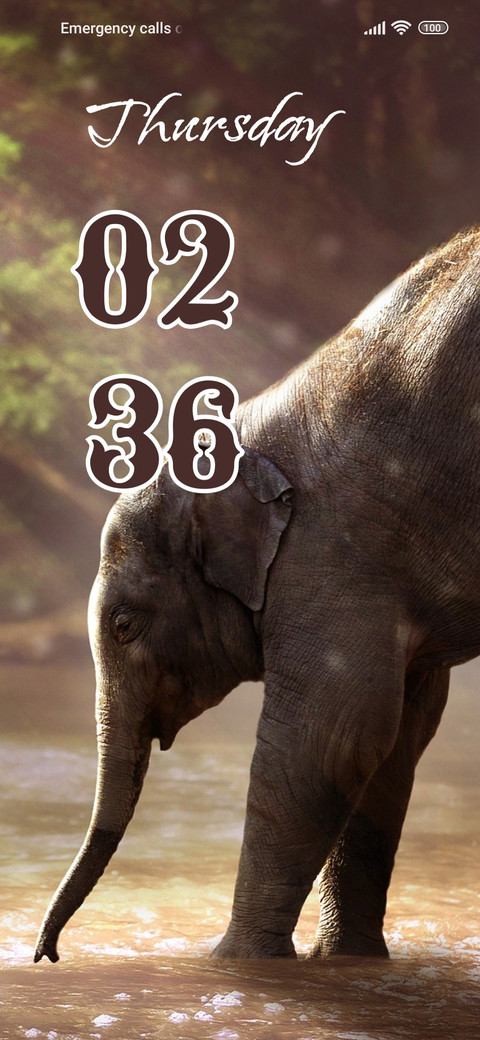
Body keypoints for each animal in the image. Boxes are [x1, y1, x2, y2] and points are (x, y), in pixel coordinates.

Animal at [35, 227, 480, 963]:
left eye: (125, 624)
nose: (45, 953)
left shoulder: (335, 553)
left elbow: (333, 735)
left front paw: (234, 964)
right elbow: (395, 740)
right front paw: (346, 963)